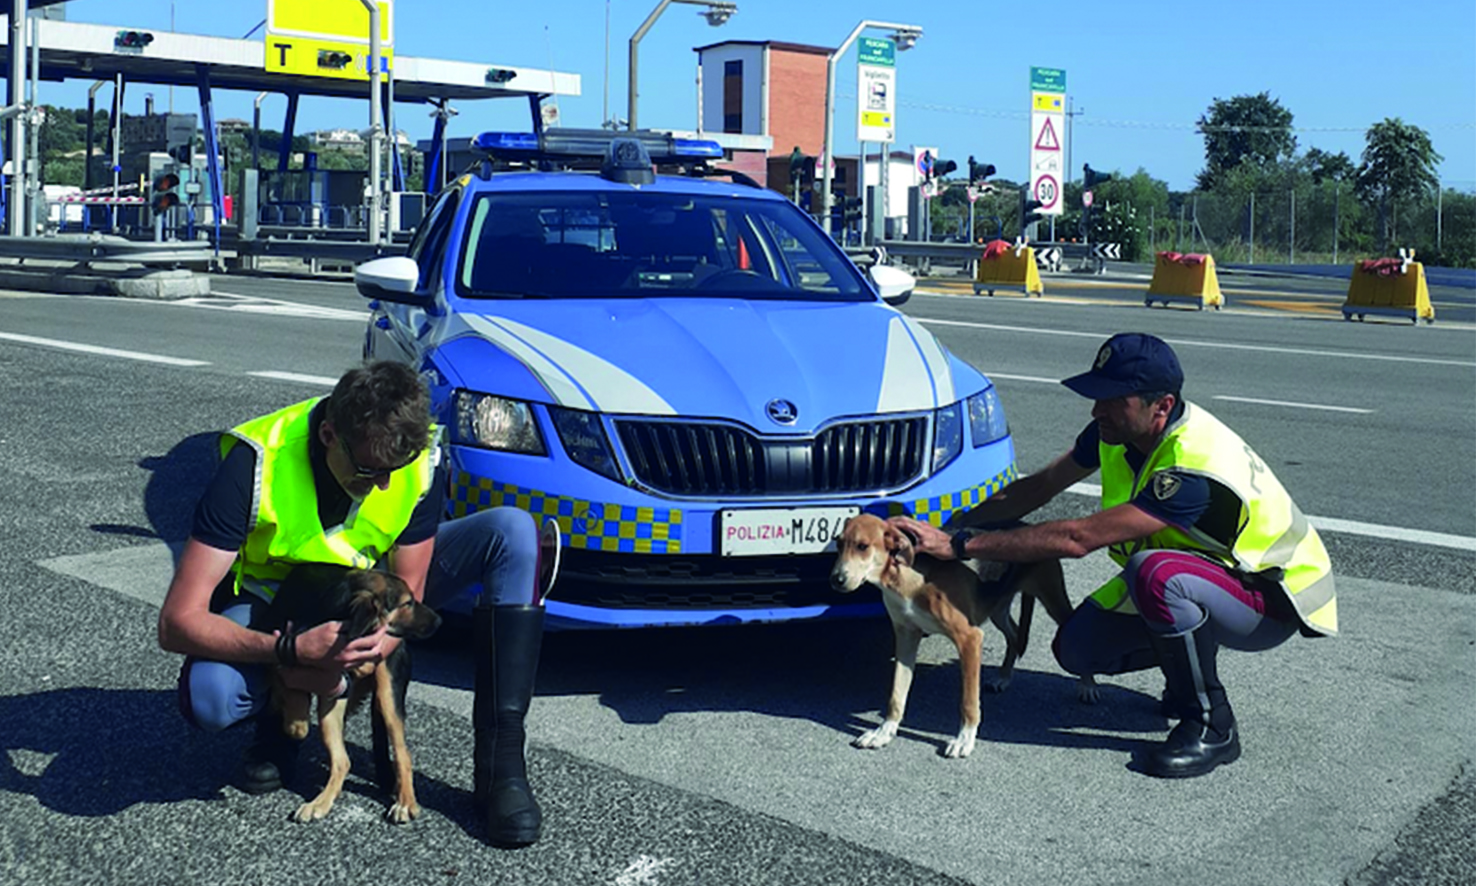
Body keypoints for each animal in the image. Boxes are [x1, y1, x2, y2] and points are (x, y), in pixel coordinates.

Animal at [265, 567, 439, 821]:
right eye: (408, 602)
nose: (439, 620)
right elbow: (284, 678)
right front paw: (294, 717)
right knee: (342, 760)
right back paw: (320, 803)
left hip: (387, 696)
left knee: (402, 753)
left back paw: (405, 802)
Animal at [832, 516, 1098, 756]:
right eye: (838, 543)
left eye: (863, 546)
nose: (836, 580)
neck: (906, 576)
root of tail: (1028, 524)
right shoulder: (906, 637)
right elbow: (896, 695)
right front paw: (884, 732)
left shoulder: (969, 639)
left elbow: (969, 702)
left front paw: (964, 740)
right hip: (997, 608)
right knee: (1013, 635)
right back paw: (1003, 677)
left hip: (1053, 599)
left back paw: (1088, 685)